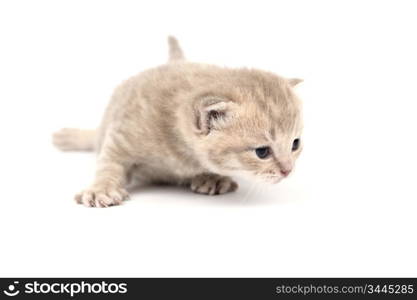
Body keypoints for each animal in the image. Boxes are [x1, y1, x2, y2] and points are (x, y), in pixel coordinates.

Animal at [52, 36, 302, 207]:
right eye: (262, 152)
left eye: (295, 144)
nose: (288, 170)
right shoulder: (122, 133)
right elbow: (109, 162)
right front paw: (101, 188)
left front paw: (212, 176)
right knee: (96, 137)